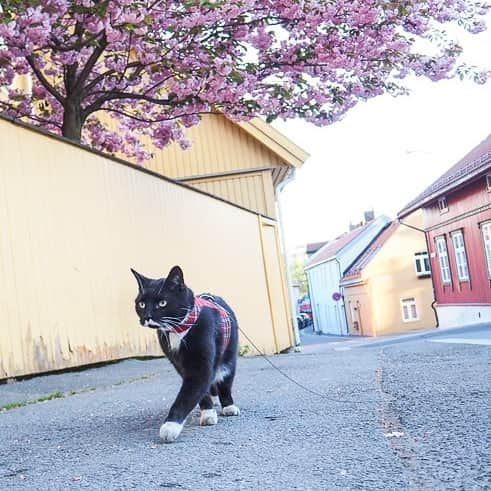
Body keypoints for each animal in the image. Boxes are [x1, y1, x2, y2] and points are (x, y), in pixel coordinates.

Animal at [130, 268, 239, 444]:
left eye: (162, 303)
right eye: (141, 304)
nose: (147, 316)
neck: (177, 330)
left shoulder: (201, 362)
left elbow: (190, 390)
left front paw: (170, 426)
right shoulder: (177, 362)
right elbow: (198, 391)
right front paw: (207, 412)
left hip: (229, 352)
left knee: (225, 378)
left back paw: (228, 405)